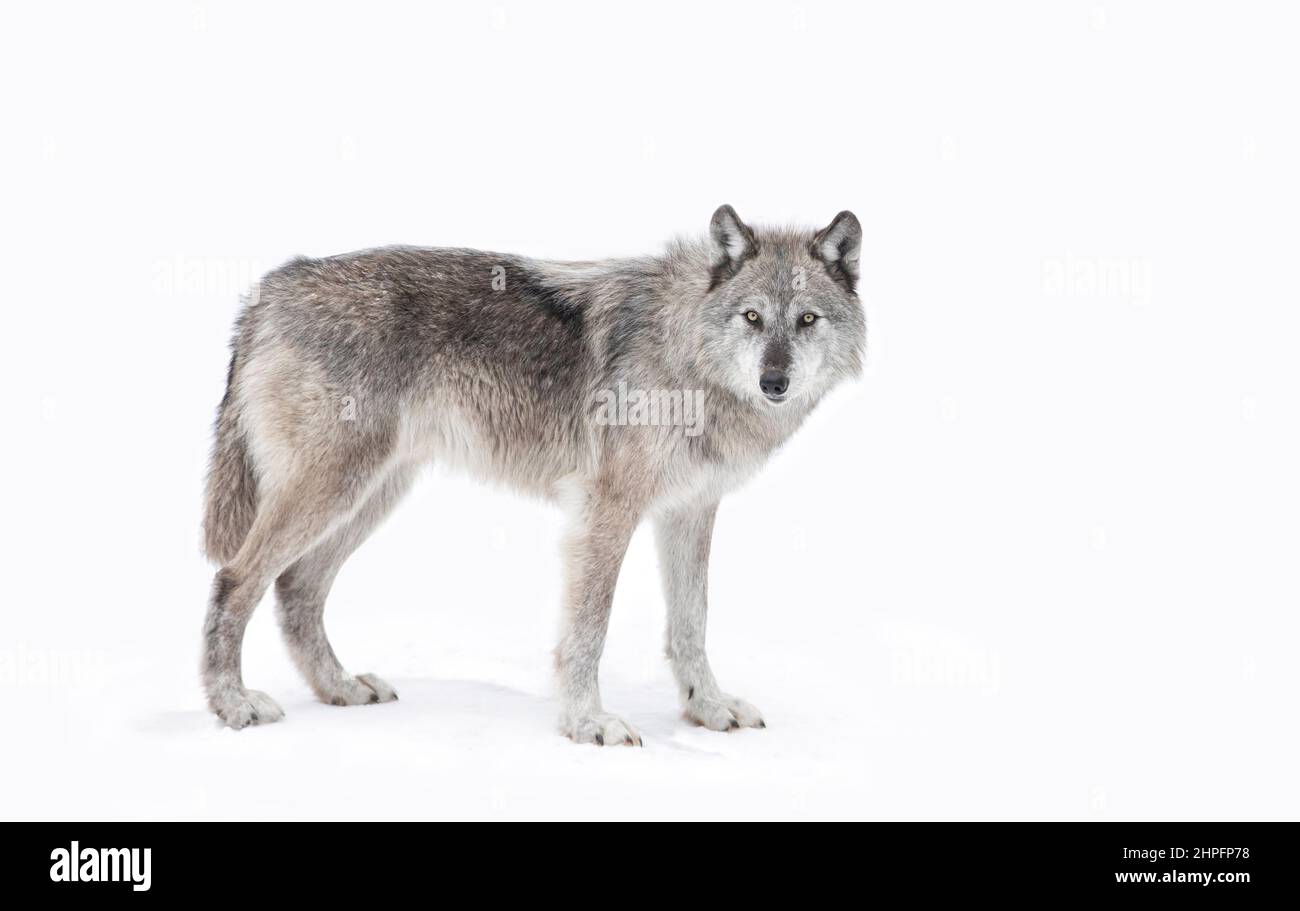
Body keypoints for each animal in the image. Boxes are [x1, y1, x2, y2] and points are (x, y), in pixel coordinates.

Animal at [201, 205, 865, 745]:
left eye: (807, 320)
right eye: (752, 317)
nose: (774, 382)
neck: (687, 357)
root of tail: (272, 287)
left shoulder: (690, 511)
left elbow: (691, 622)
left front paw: (708, 709)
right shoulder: (605, 511)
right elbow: (589, 628)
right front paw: (588, 723)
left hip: (372, 494)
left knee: (297, 588)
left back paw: (339, 688)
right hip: (335, 488)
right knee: (236, 579)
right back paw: (232, 706)